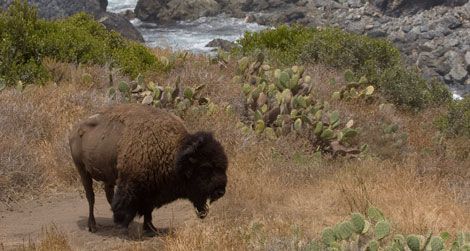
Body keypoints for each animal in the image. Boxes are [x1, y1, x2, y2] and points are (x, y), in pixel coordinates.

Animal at [69, 103, 229, 235]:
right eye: (205, 168)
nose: (220, 192)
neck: (173, 152)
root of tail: (76, 129)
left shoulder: (151, 188)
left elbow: (148, 209)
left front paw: (151, 228)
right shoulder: (131, 184)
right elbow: (127, 204)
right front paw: (124, 227)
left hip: (108, 176)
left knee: (108, 195)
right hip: (82, 170)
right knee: (91, 197)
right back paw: (93, 226)